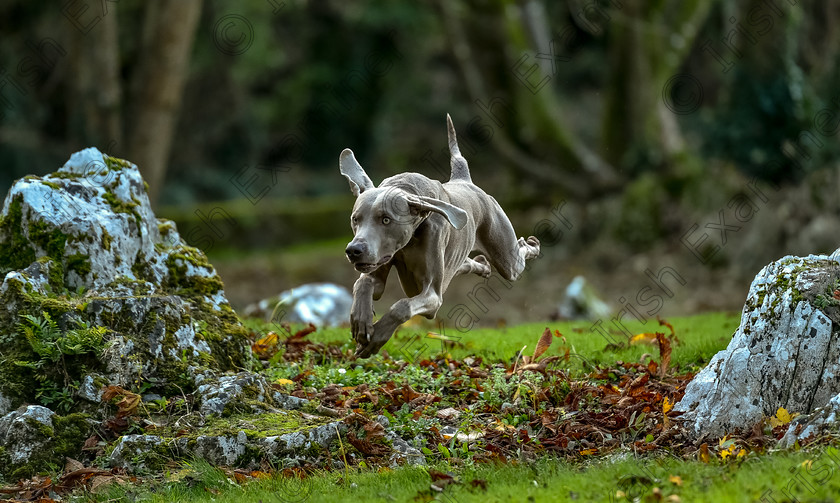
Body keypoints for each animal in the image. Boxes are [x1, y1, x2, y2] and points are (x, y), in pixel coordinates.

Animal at [340, 114, 540, 358]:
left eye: (386, 219)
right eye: (355, 219)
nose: (354, 250)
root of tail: (464, 180)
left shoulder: (433, 296)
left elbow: (401, 306)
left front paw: (376, 338)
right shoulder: (379, 264)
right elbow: (365, 283)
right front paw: (361, 321)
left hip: (506, 259)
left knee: (515, 257)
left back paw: (532, 245)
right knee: (464, 263)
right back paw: (482, 265)